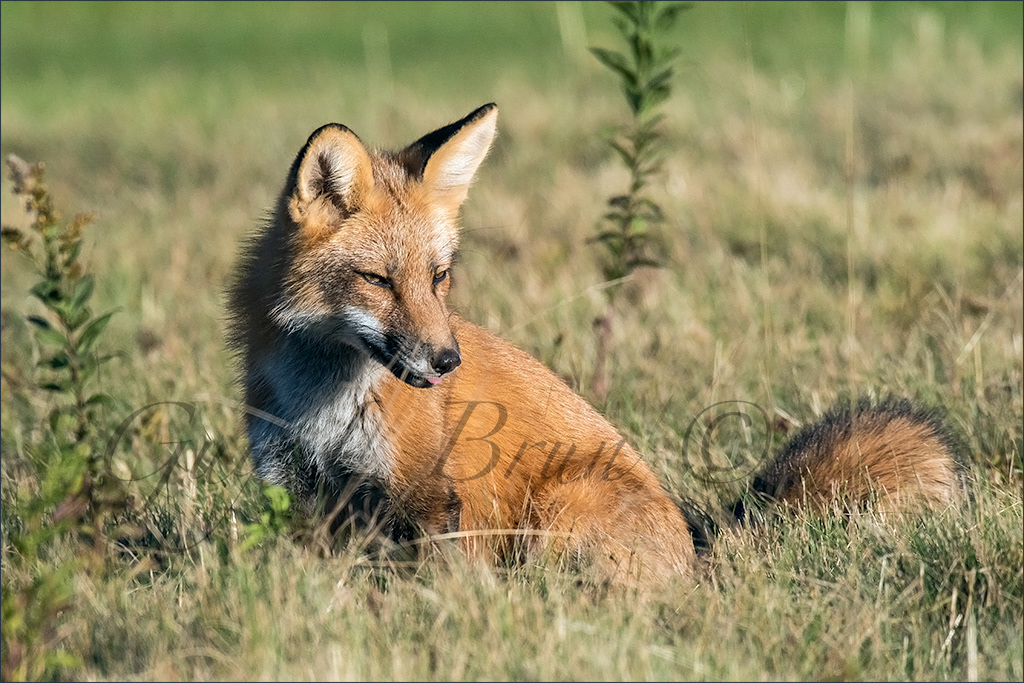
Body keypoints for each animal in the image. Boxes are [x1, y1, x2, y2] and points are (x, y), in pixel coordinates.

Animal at [227, 103, 964, 584]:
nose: (446, 361)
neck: (323, 401)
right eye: (377, 280)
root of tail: (698, 545)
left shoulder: (430, 494)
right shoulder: (294, 488)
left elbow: (438, 586)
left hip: (558, 511)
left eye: (439, 278)